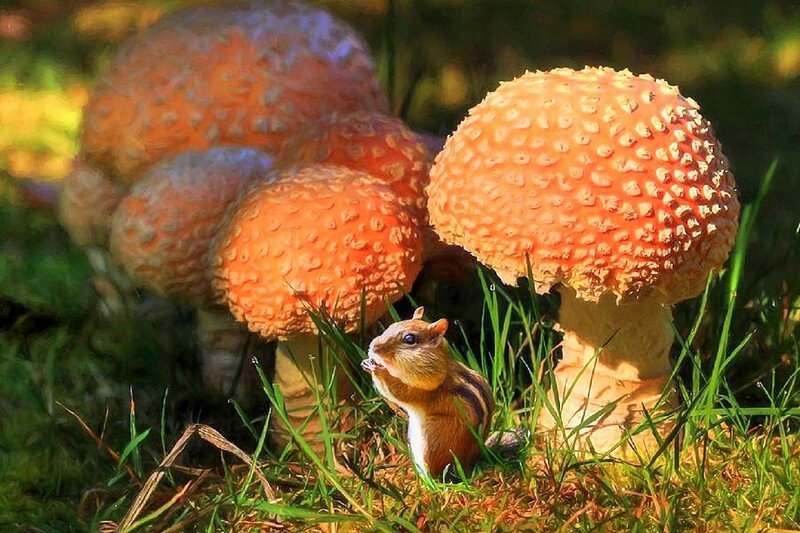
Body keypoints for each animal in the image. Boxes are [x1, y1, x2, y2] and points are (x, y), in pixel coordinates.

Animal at [361, 307, 494, 479]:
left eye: (409, 339)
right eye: (391, 326)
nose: (373, 347)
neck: (443, 369)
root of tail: (473, 461)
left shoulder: (423, 391)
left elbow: (398, 391)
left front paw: (379, 370)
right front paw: (367, 362)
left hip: (433, 441)